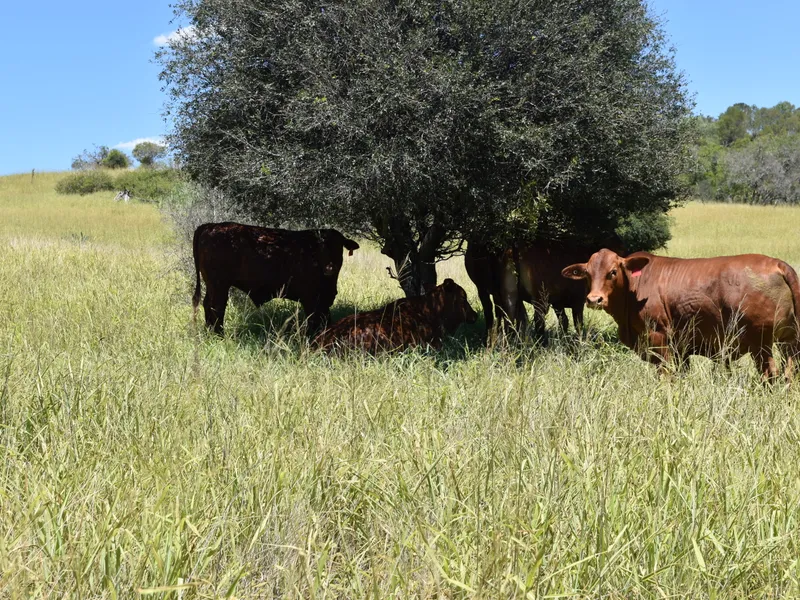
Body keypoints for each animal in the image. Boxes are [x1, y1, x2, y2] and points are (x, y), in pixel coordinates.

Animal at [192, 222, 359, 334]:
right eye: (320, 247)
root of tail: (211, 225)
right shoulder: (310, 298)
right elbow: (314, 320)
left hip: (213, 285)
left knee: (207, 304)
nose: (330, 268)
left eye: (338, 247)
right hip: (219, 285)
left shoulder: (325, 299)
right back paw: (219, 334)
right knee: (216, 307)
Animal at [465, 237, 627, 341]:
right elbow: (578, 325)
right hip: (538, 298)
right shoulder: (577, 301)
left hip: (508, 293)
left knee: (509, 318)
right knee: (537, 321)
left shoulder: (557, 303)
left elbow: (564, 321)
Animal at [562, 249, 800, 381]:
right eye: (587, 274)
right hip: (788, 341)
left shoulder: (659, 339)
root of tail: (776, 264)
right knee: (790, 372)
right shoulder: (681, 348)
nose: (594, 299)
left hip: (760, 344)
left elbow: (666, 375)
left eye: (612, 272)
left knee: (771, 373)